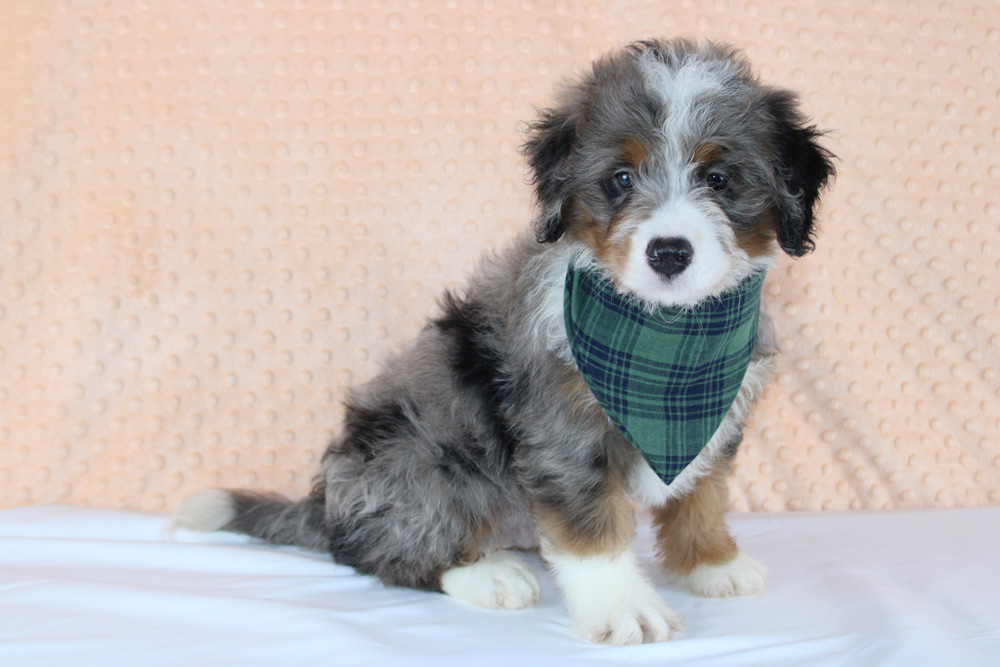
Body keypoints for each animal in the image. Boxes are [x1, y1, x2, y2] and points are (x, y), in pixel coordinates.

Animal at [171, 38, 834, 645]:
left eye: (719, 179)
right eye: (620, 179)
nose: (669, 252)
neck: (667, 337)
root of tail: (325, 509)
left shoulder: (717, 422)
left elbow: (702, 494)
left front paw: (711, 563)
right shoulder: (562, 434)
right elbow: (593, 529)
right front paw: (625, 608)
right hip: (415, 461)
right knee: (382, 551)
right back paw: (487, 574)